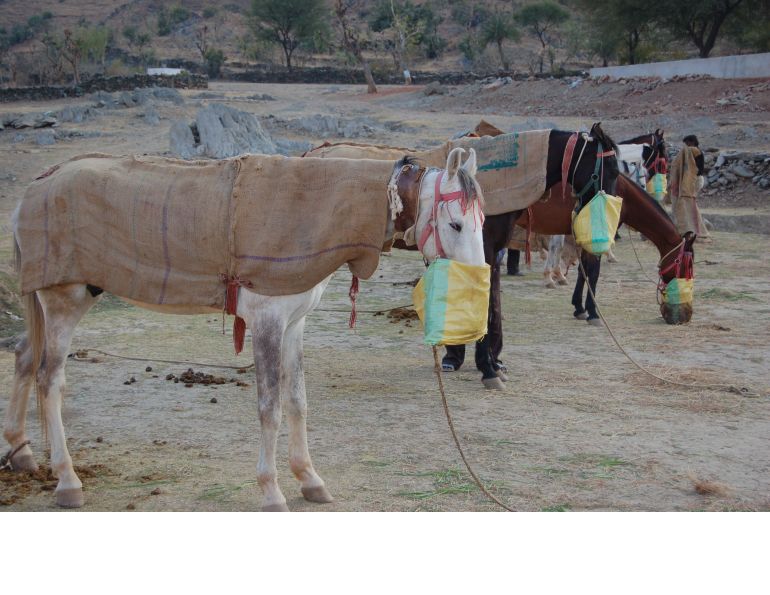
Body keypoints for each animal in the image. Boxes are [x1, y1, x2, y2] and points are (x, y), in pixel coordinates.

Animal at [3, 148, 486, 511]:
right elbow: (269, 407)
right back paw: (67, 480)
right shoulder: (267, 324)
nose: (475, 290)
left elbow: (297, 401)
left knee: (24, 357)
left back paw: (21, 451)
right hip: (63, 302)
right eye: (456, 223)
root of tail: (37, 184)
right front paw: (272, 491)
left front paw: (309, 478)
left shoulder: (294, 325)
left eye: (482, 223)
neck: (311, 209)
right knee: (49, 379)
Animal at [305, 123, 622, 389]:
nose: (608, 222)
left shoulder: (488, 252)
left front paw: (488, 361)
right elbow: (486, 302)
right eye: (612, 169)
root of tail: (314, 152)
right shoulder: (484, 251)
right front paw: (486, 367)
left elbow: (492, 303)